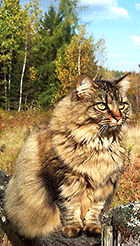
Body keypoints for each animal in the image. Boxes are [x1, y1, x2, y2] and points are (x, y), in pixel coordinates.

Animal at [4, 72, 131, 239]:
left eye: (122, 105)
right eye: (102, 106)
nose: (118, 117)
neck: (99, 146)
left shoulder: (104, 185)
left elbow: (94, 210)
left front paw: (93, 228)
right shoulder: (62, 180)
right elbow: (69, 207)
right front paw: (73, 228)